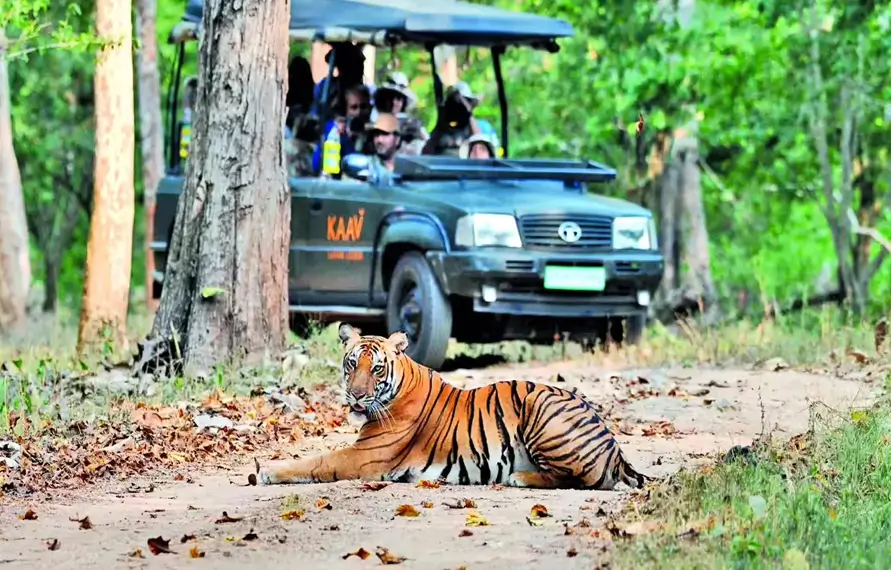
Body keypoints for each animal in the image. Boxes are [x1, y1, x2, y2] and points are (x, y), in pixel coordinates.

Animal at [253, 323, 652, 490]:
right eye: (352, 364)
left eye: (376, 368)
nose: (356, 396)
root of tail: (614, 447)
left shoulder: (363, 457)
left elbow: (315, 461)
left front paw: (267, 470)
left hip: (542, 407)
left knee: (581, 480)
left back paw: (520, 478)